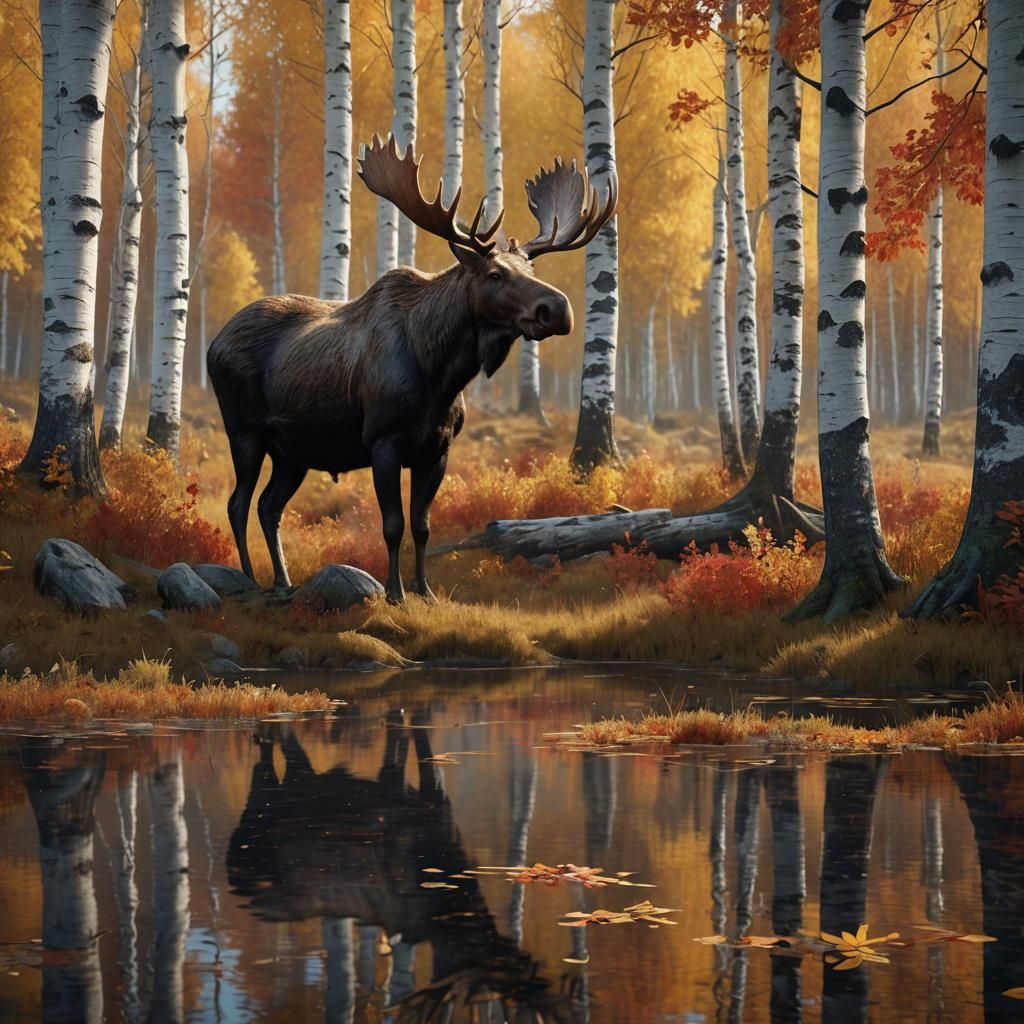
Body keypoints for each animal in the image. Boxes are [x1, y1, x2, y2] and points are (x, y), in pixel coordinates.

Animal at [207, 135, 617, 602]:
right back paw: (249, 581)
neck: (440, 373)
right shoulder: (383, 442)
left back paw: (283, 581)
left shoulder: (436, 449)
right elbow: (392, 525)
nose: (559, 308)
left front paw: (425, 590)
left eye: (531, 267)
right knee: (238, 503)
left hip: (293, 451)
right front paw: (395, 593)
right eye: (495, 273)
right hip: (245, 431)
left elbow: (422, 526)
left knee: (268, 507)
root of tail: (213, 344)